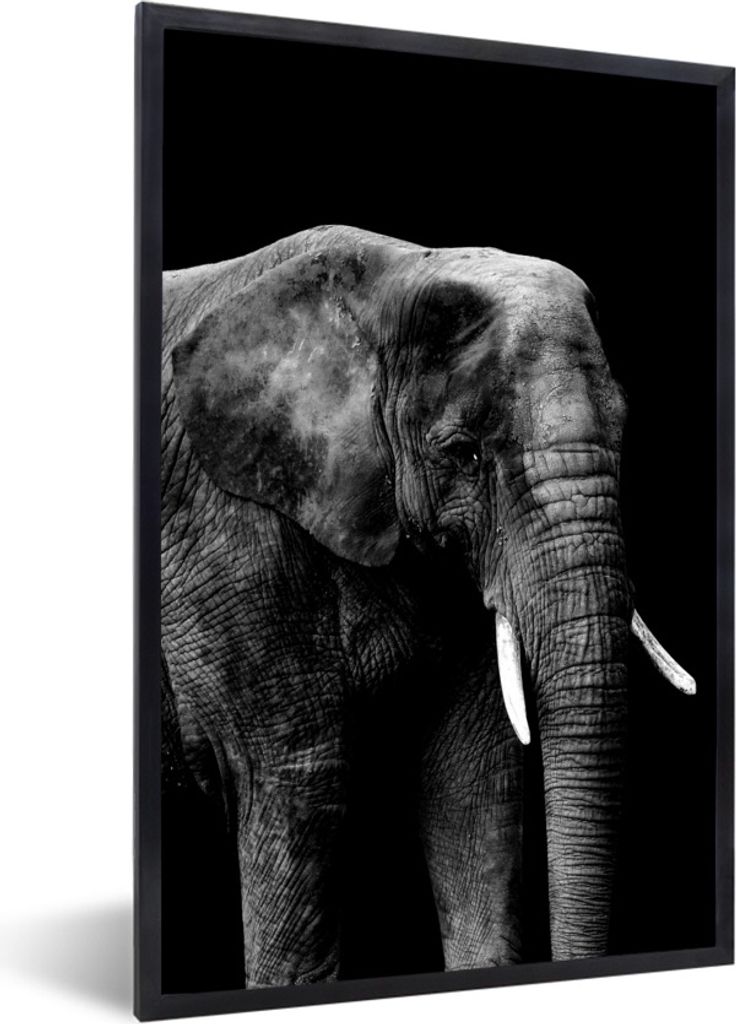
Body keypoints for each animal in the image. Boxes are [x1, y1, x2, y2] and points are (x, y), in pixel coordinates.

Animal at [160, 224, 694, 987]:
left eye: (625, 435)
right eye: (464, 454)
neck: (390, 280)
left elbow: (472, 789)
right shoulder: (226, 535)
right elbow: (295, 785)